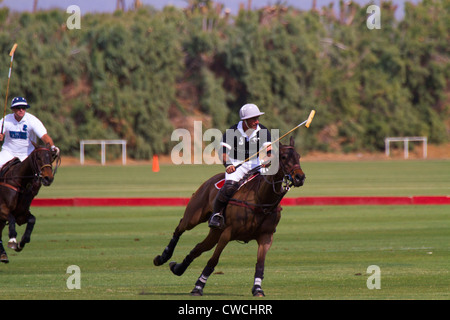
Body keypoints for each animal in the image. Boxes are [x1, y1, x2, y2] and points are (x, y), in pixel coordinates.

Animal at [154, 136, 306, 296]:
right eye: (283, 157)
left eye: (299, 156)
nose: (300, 177)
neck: (261, 199)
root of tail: (210, 180)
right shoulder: (227, 233)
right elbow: (213, 260)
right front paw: (198, 287)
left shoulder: (266, 237)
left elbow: (260, 263)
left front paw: (258, 288)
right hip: (195, 216)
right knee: (180, 227)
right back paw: (163, 257)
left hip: (215, 232)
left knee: (198, 248)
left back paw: (178, 268)